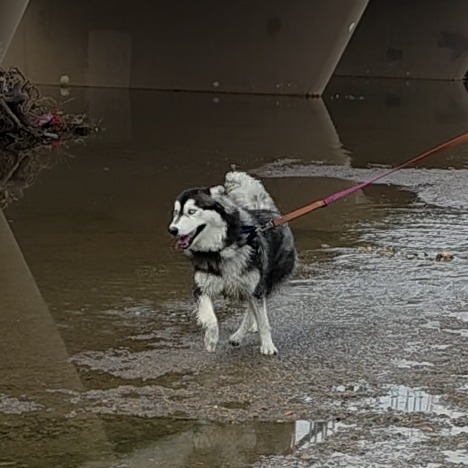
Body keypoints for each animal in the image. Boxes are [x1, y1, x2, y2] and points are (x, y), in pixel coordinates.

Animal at [168, 171, 296, 355]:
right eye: (176, 212)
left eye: (192, 211)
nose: (172, 230)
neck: (220, 250)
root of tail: (268, 210)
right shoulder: (201, 289)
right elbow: (211, 319)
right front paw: (211, 339)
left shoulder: (256, 288)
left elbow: (264, 321)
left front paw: (268, 345)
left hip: (265, 281)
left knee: (252, 310)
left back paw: (240, 335)